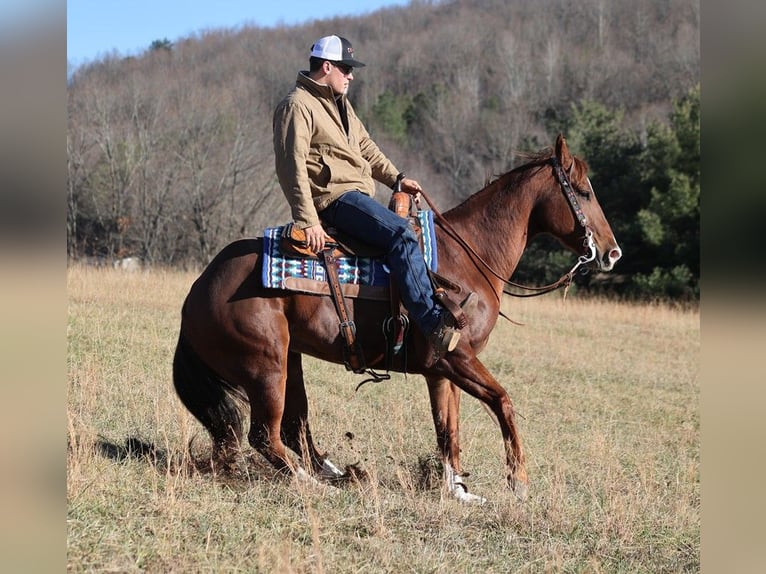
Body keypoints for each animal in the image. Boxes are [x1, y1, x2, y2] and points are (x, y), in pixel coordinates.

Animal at [174, 135, 624, 504]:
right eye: (583, 192)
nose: (612, 252)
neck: (468, 257)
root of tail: (199, 288)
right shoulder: (456, 359)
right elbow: (503, 402)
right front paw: (519, 481)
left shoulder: (442, 371)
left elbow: (449, 429)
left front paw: (459, 490)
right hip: (267, 368)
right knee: (264, 435)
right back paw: (315, 485)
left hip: (290, 362)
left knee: (292, 428)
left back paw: (333, 472)